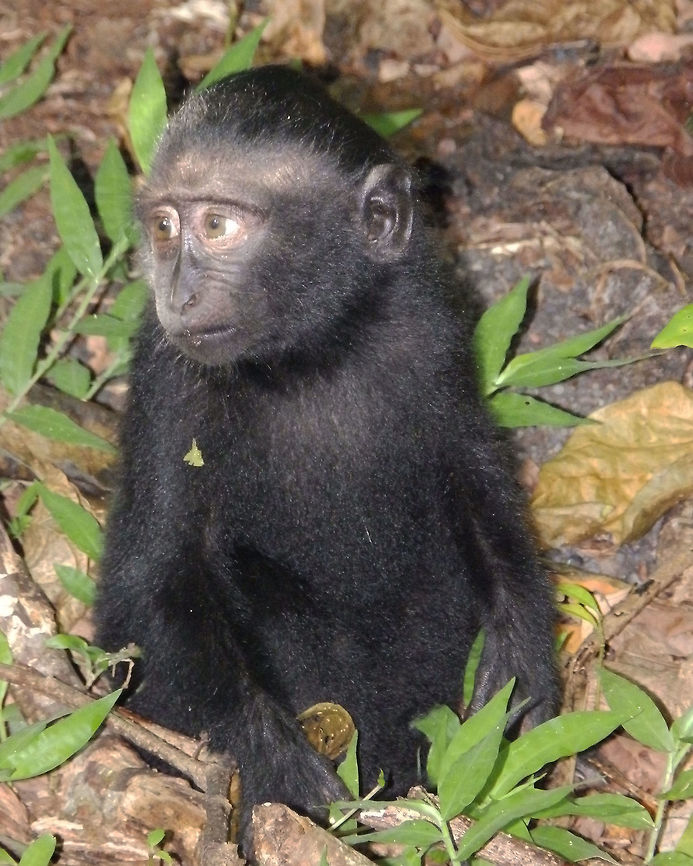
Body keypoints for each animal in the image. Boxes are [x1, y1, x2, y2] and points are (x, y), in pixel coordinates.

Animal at [94, 65, 559, 855]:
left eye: (216, 226)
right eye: (163, 228)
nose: (176, 294)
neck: (307, 357)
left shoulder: (423, 326)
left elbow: (469, 470)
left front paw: (519, 661)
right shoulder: (169, 383)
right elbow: (148, 590)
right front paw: (278, 770)